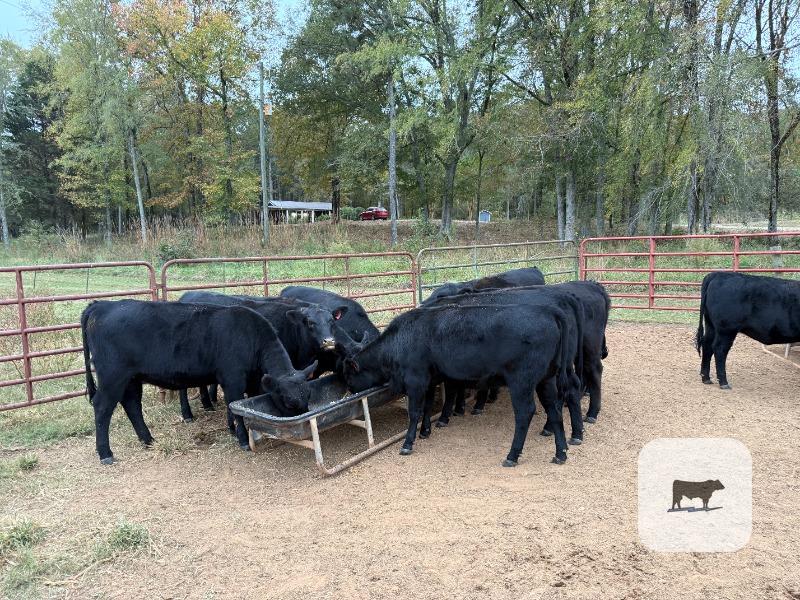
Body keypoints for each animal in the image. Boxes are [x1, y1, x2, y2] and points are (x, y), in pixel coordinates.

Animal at [81, 300, 316, 464]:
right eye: (289, 401)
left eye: (308, 396)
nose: (303, 428)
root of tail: (102, 305)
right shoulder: (232, 378)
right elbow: (236, 407)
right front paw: (242, 439)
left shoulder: (250, 381)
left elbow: (241, 407)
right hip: (112, 376)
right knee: (103, 408)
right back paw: (106, 453)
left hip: (131, 378)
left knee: (132, 405)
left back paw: (148, 440)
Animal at [177, 291, 347, 421]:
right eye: (310, 323)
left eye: (331, 321)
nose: (329, 341)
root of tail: (189, 294)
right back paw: (187, 414)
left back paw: (208, 404)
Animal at [340, 302, 581, 465]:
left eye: (348, 375)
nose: (349, 390)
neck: (399, 342)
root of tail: (549, 311)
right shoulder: (430, 380)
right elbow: (428, 407)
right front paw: (425, 431)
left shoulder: (415, 380)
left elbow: (415, 412)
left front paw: (408, 443)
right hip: (546, 379)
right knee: (554, 410)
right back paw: (560, 453)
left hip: (522, 381)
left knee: (525, 413)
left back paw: (512, 455)